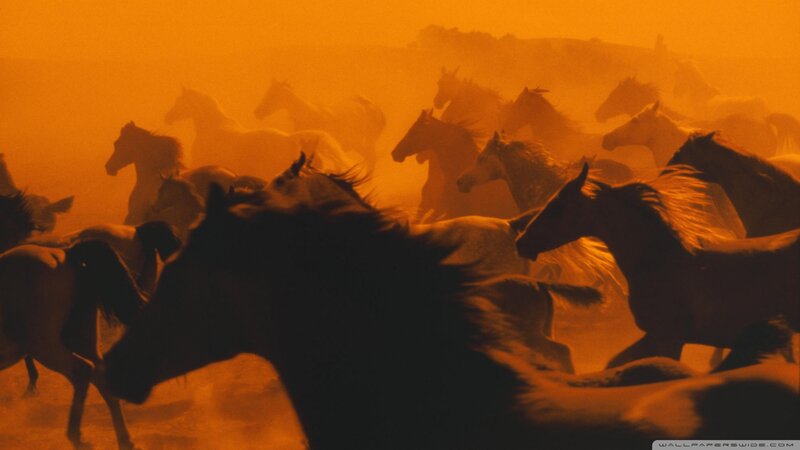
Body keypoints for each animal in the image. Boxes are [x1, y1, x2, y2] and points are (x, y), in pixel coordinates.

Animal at [1, 240, 144, 449]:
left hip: (44, 345)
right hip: (80, 339)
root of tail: (64, 254)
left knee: (81, 370)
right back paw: (125, 440)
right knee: (100, 376)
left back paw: (78, 438)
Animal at [254, 79, 386, 167]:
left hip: (365, 142)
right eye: (268, 92)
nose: (257, 112)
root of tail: (376, 108)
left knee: (371, 159)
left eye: (273, 95)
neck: (308, 115)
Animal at [516, 164, 800, 370]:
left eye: (557, 206)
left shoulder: (669, 337)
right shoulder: (654, 336)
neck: (658, 260)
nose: (522, 242)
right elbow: (615, 363)